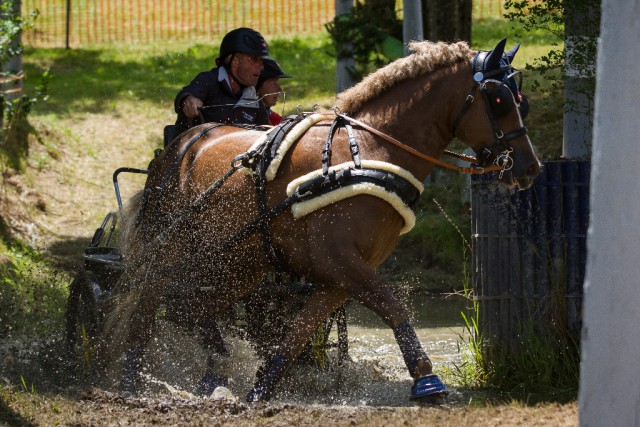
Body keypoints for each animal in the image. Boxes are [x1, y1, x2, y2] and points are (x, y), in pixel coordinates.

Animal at [105, 37, 540, 404]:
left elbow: (296, 334)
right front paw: (426, 380)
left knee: (189, 309)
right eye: (500, 99)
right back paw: (130, 383)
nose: (529, 167)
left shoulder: (336, 278)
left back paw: (215, 373)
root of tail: (178, 147)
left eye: (522, 101)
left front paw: (261, 390)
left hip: (236, 262)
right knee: (148, 307)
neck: (367, 151)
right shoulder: (343, 263)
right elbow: (394, 307)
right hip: (171, 252)